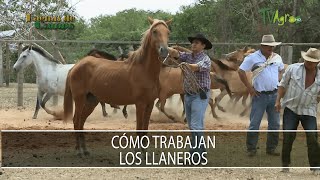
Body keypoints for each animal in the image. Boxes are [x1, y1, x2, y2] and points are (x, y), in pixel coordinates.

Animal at [63, 17, 172, 156]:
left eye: (168, 33)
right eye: (154, 31)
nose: (164, 51)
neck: (144, 70)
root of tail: (76, 66)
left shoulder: (150, 104)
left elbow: (145, 129)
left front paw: (144, 152)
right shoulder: (140, 104)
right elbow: (139, 129)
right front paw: (138, 152)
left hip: (91, 101)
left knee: (81, 121)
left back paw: (85, 150)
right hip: (79, 98)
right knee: (76, 121)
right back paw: (79, 151)